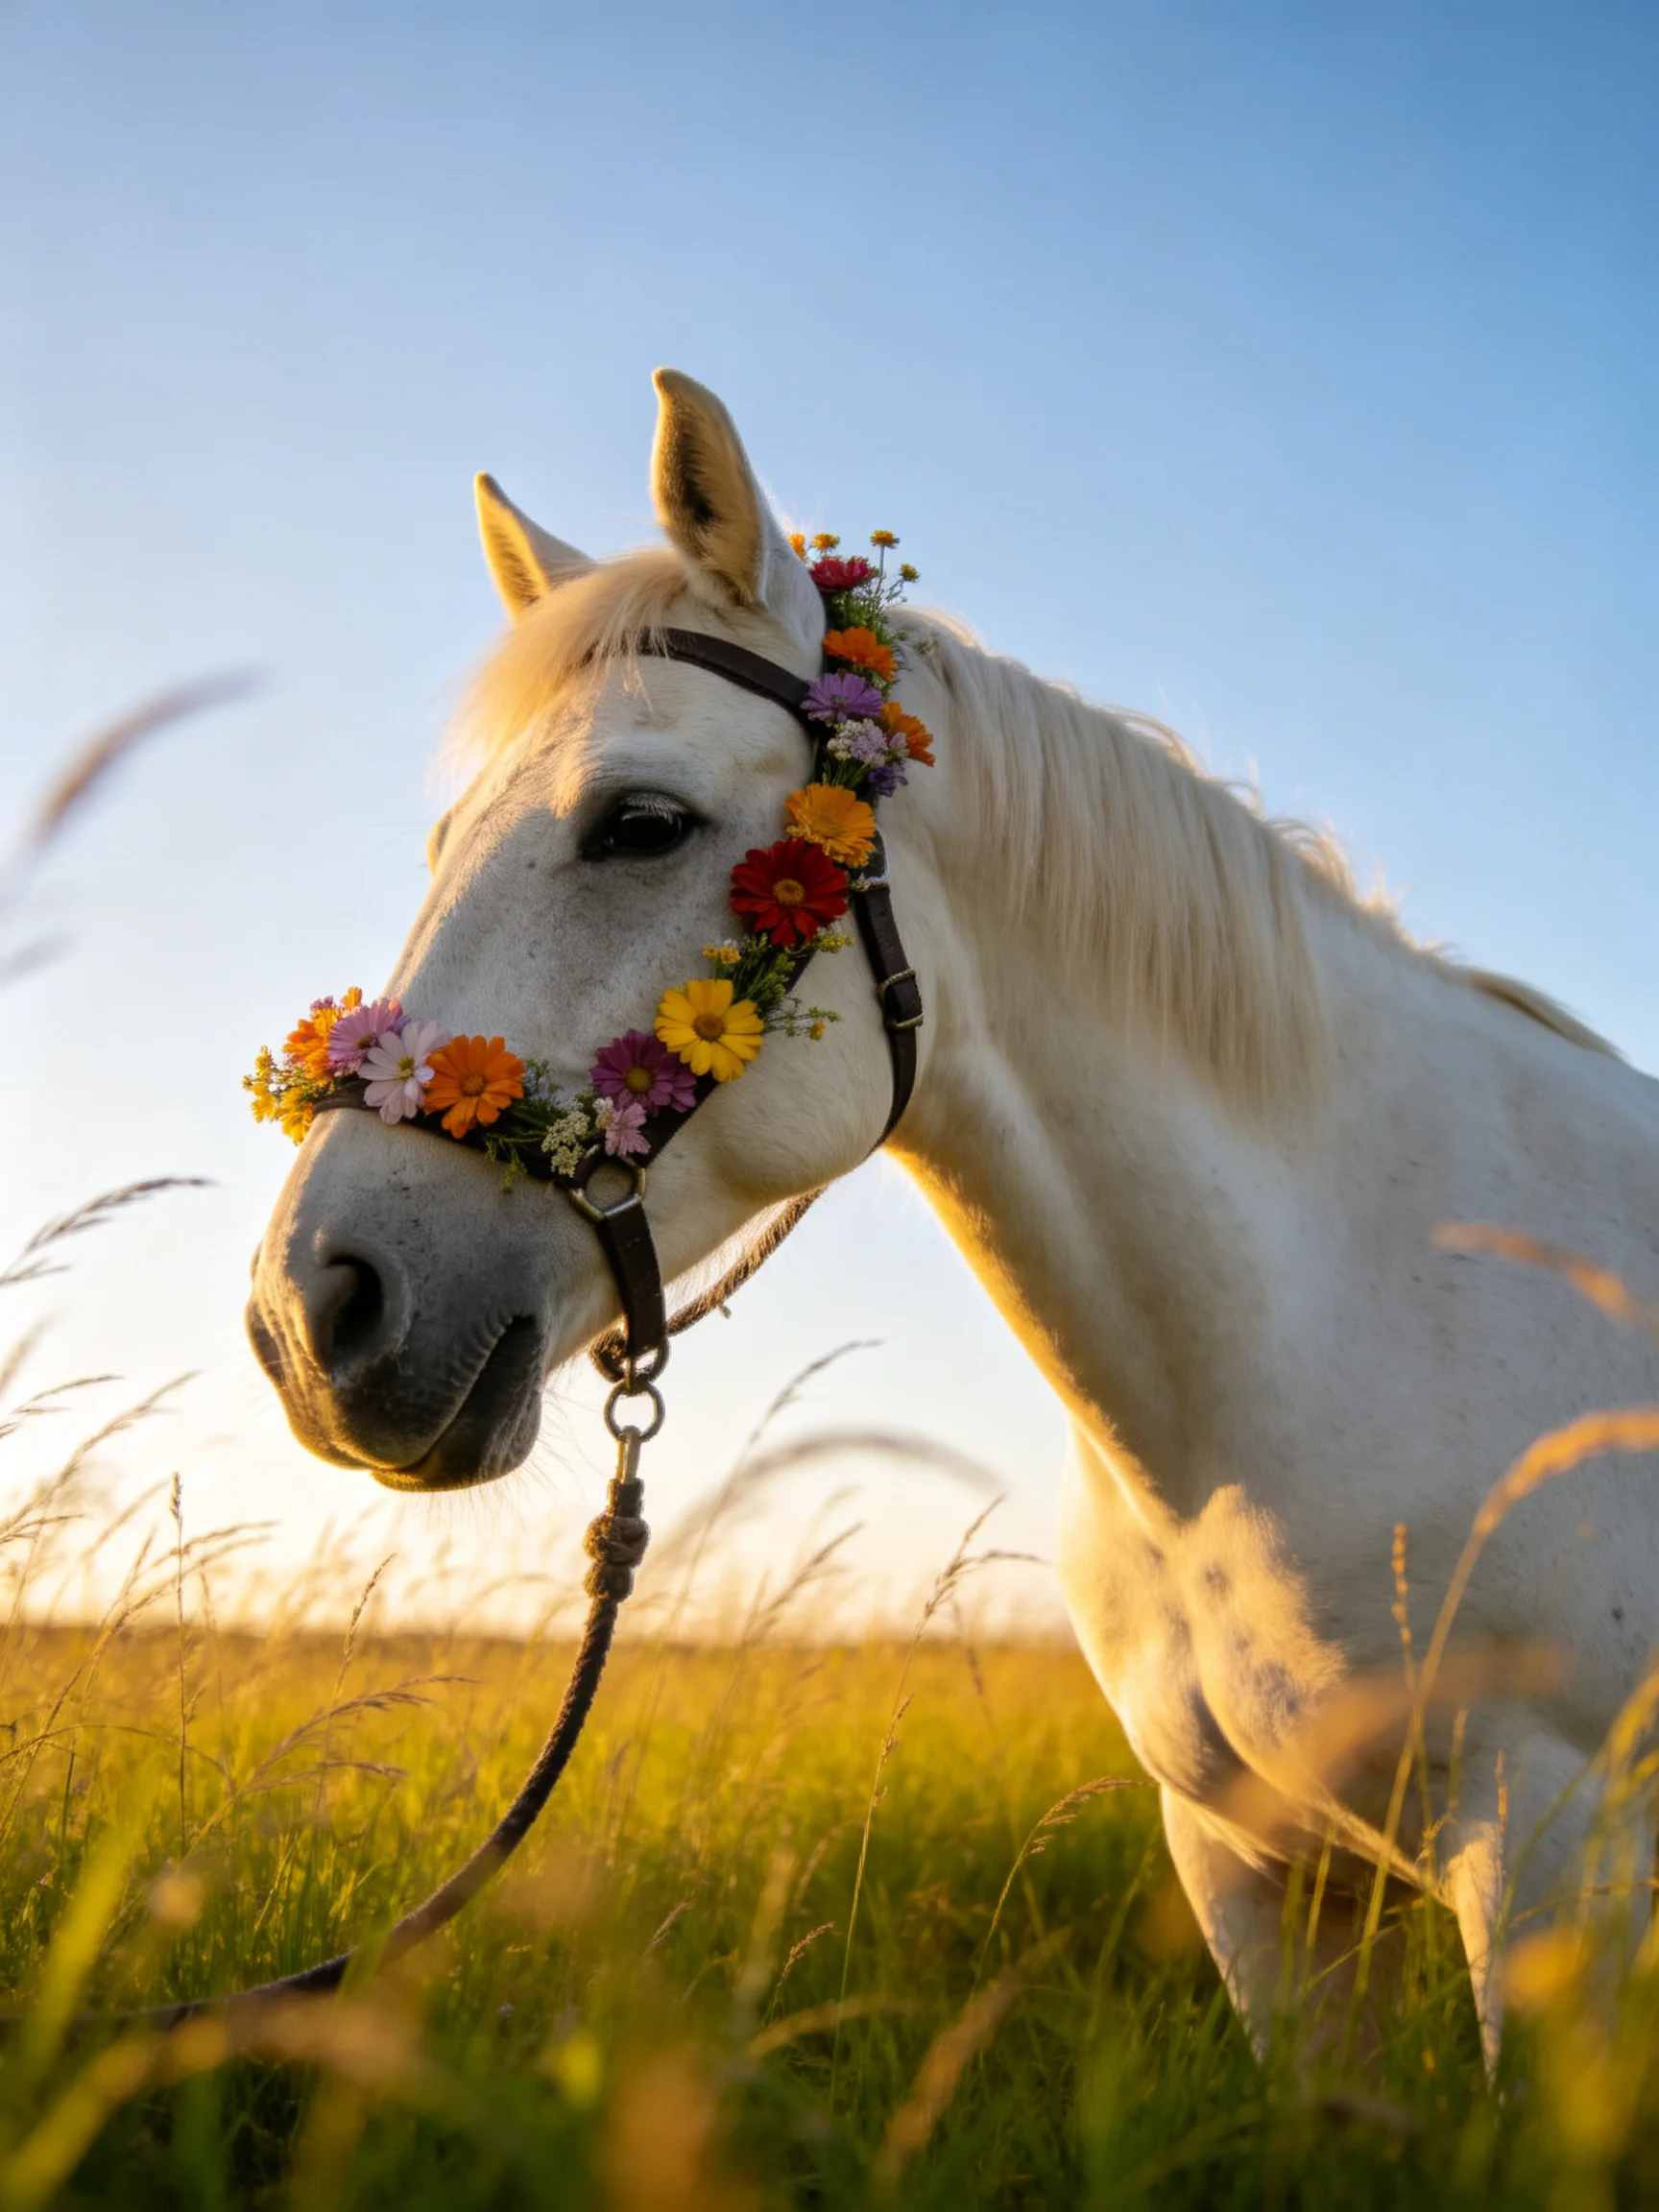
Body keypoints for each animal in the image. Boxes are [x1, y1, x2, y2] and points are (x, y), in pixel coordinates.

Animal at [247, 368, 1659, 2067]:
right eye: (443, 843)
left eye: (641, 823)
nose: (311, 1317)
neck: (1341, 1313)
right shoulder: (1257, 1880)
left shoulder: (1550, 1863)